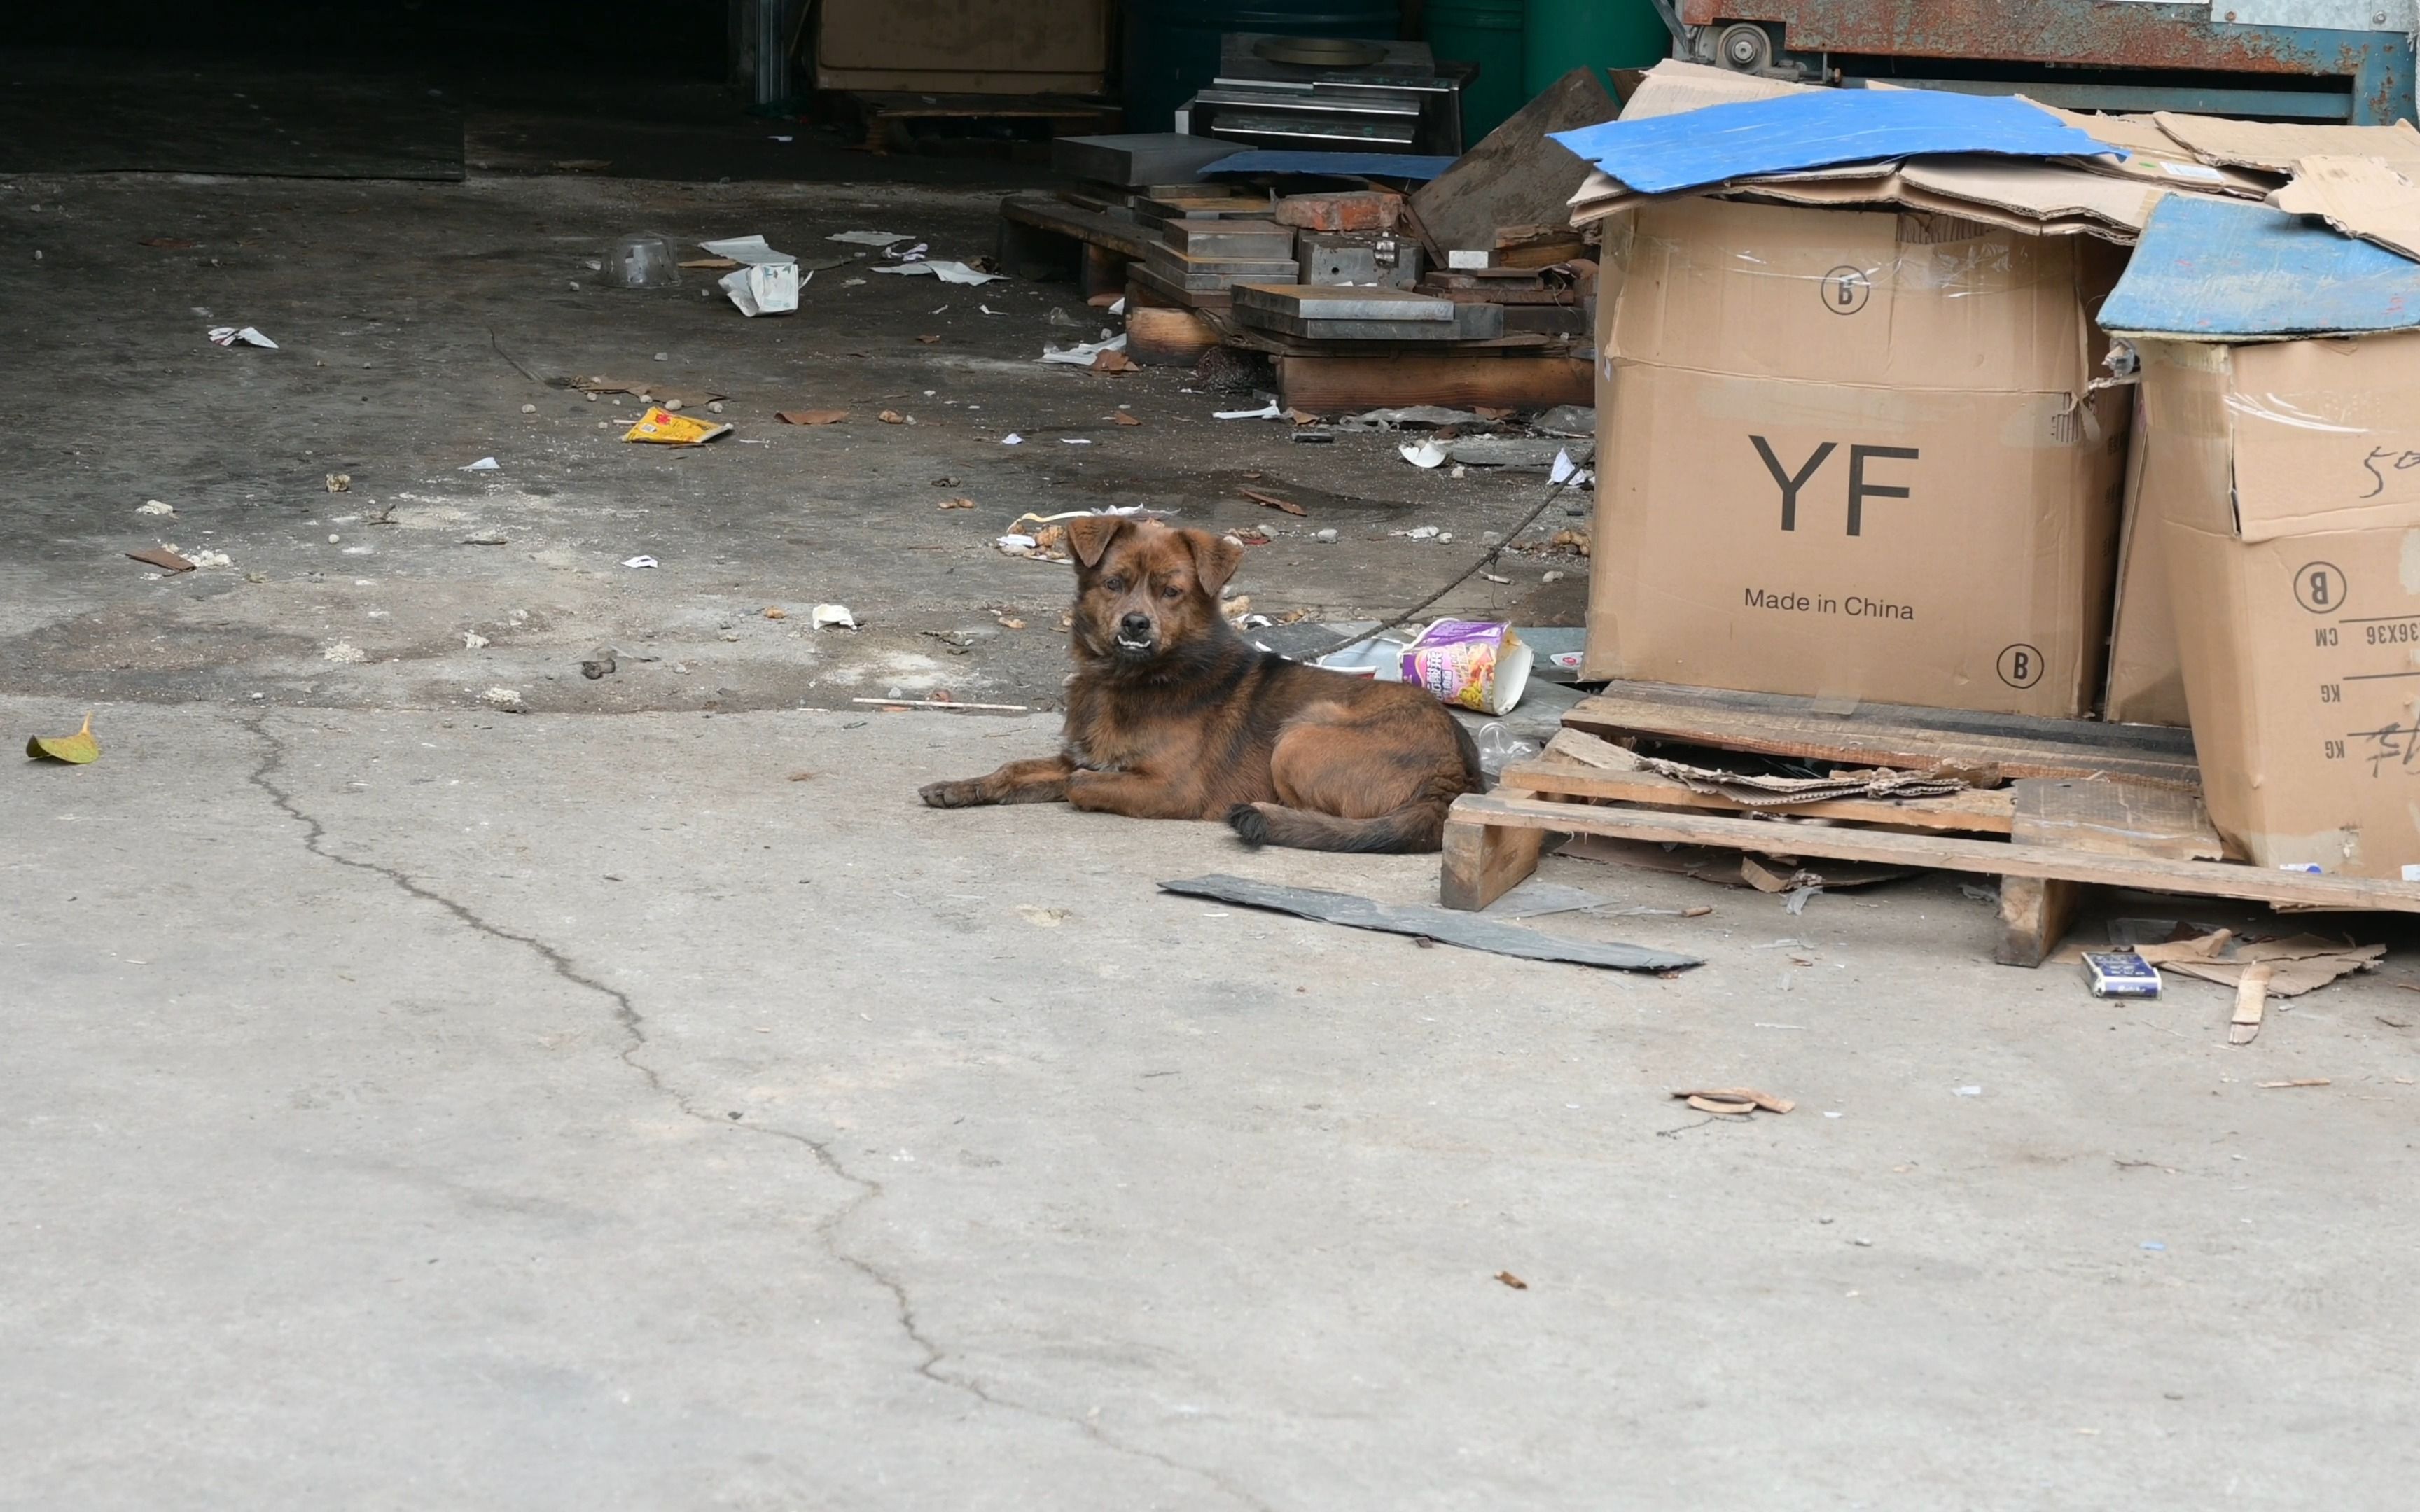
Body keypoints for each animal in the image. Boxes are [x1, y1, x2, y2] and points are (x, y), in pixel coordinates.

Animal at [919, 515, 1471, 851]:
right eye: (1114, 584)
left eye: (1172, 592)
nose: (1135, 625)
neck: (1129, 680)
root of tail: (1454, 776)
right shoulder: (1076, 757)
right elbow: (1015, 770)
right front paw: (960, 787)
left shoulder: (1171, 789)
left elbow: (1078, 786)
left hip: (1301, 733)